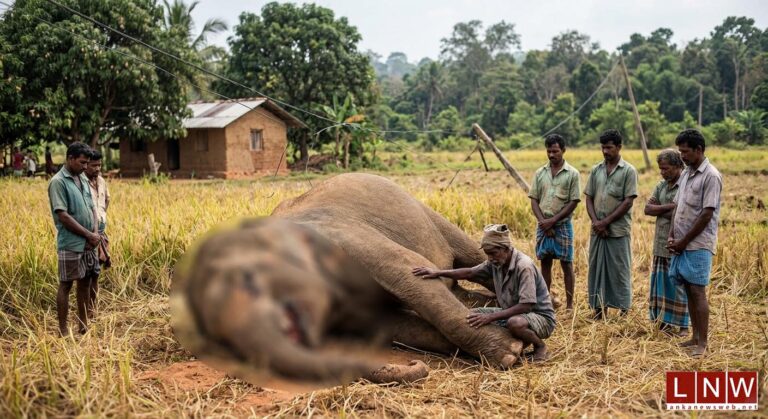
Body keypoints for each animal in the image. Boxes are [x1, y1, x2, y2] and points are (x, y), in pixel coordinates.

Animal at [170, 173, 523, 386]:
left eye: (249, 280)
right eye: (220, 341)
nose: (414, 365)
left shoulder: (346, 236)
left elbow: (413, 269)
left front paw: (511, 351)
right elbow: (390, 325)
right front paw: (515, 345)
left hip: (426, 212)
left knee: (469, 254)